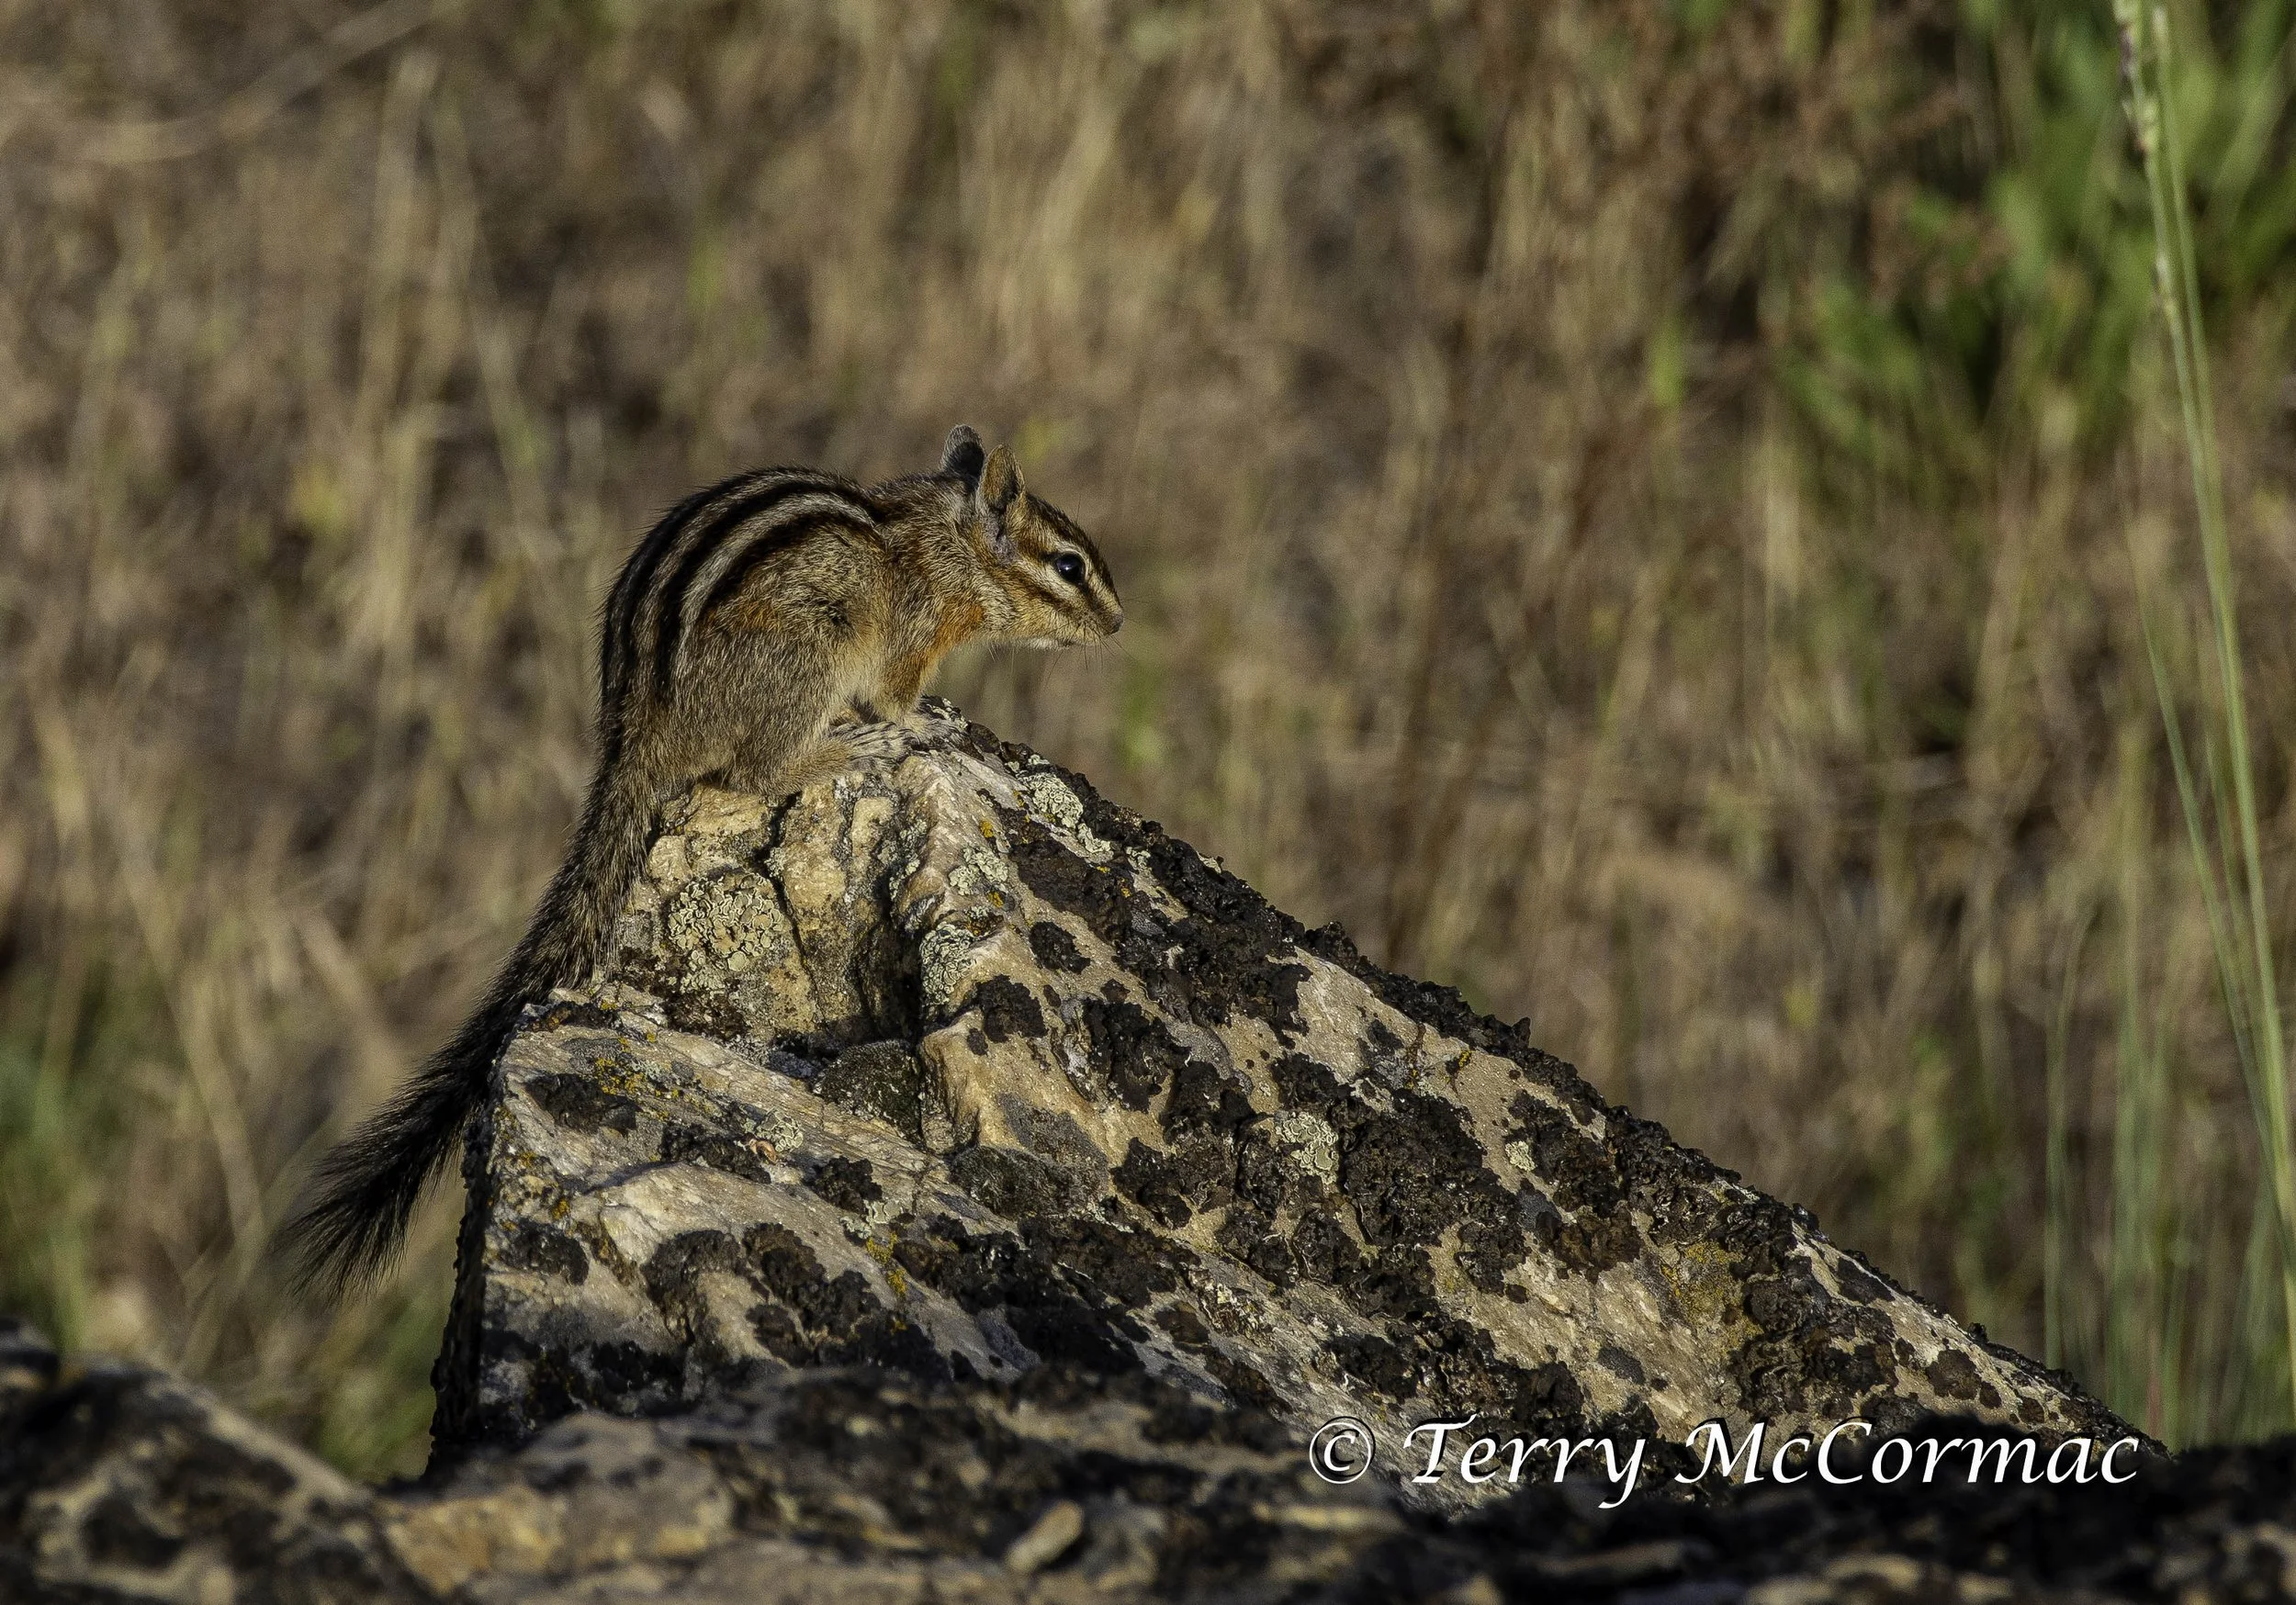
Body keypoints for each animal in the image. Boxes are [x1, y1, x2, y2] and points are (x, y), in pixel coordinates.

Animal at [282, 425, 1122, 1295]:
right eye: (1070, 567)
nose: (1120, 624)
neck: (950, 542)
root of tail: (641, 728)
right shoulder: (909, 640)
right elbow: (897, 698)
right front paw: (929, 725)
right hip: (806, 660)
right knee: (756, 773)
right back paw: (847, 748)